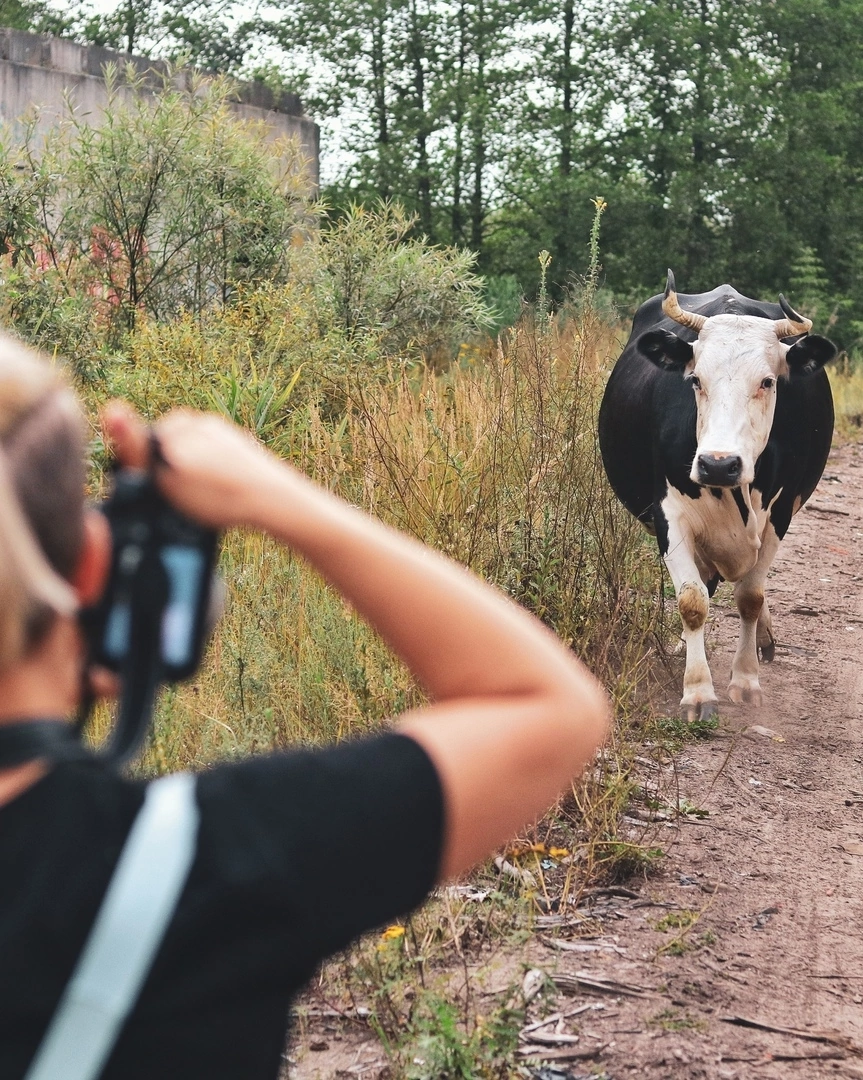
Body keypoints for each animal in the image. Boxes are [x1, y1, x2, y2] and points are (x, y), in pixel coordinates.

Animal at [600, 274, 838, 721]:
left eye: (768, 381)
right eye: (695, 379)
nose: (717, 464)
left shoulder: (780, 514)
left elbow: (750, 597)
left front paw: (745, 680)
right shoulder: (669, 512)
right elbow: (692, 599)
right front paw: (697, 690)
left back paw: (763, 640)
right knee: (704, 582)